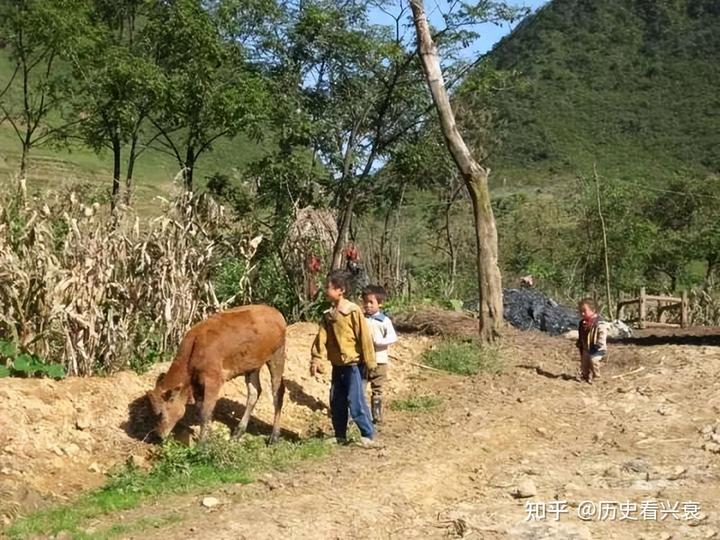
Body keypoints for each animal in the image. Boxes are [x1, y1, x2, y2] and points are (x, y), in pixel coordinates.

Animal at [146, 306, 286, 446]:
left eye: (161, 413)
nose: (158, 434)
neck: (194, 349)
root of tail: (276, 313)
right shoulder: (197, 384)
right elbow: (201, 410)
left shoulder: (213, 381)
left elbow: (205, 412)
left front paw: (202, 443)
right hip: (252, 367)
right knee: (254, 393)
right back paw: (238, 432)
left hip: (277, 355)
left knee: (277, 392)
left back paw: (274, 436)